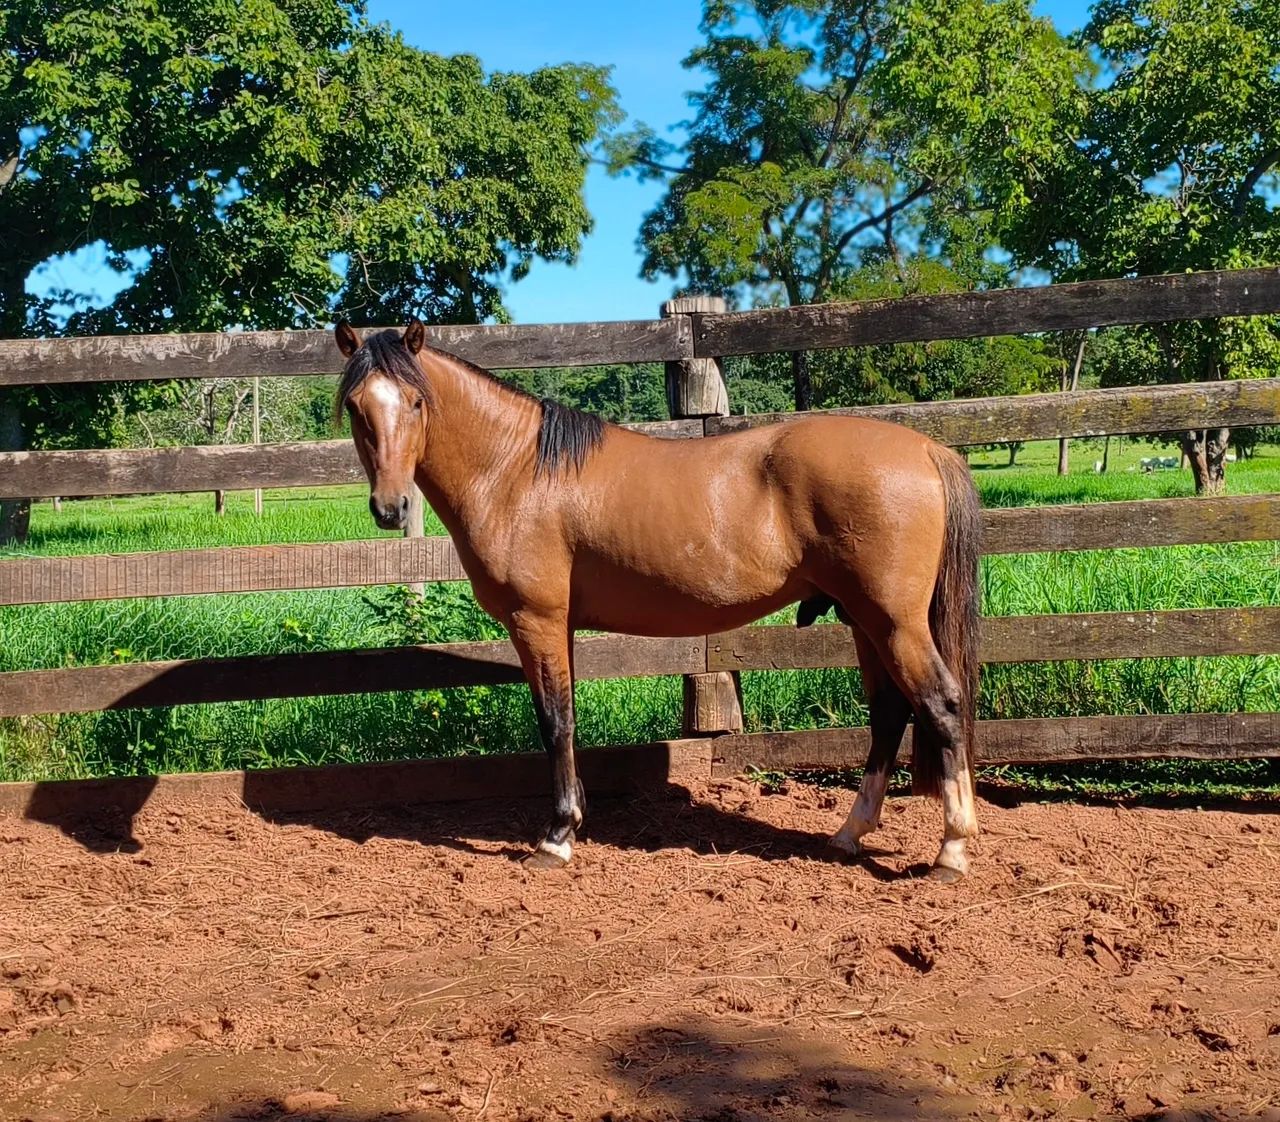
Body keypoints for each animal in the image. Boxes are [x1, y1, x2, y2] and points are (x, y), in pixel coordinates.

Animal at [334, 319, 984, 882]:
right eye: (356, 406)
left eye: (416, 403)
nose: (390, 507)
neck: (517, 471)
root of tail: (928, 450)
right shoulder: (560, 627)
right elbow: (568, 718)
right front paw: (575, 819)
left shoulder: (536, 621)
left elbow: (554, 721)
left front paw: (557, 838)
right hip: (864, 622)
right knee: (889, 713)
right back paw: (849, 834)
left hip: (894, 623)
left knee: (941, 704)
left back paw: (952, 851)